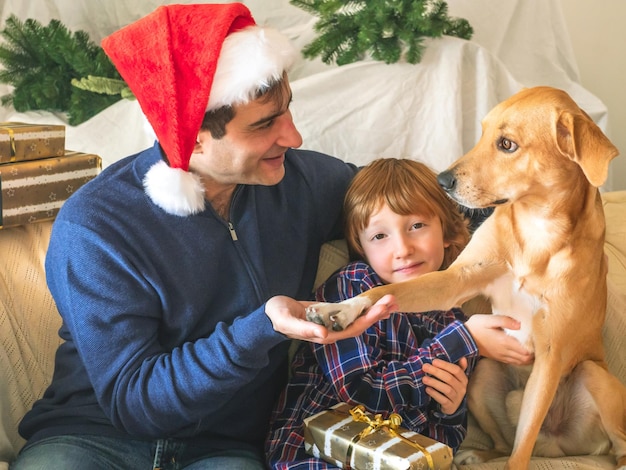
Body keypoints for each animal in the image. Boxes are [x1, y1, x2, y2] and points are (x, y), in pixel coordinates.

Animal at [306, 87, 624, 466]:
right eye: (482, 131)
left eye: (506, 144)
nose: (442, 181)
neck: (537, 230)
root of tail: (554, 446)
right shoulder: (455, 279)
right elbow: (387, 290)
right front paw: (340, 309)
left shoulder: (551, 356)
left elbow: (520, 454)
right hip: (483, 376)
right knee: (504, 444)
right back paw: (477, 455)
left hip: (592, 374)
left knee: (597, 443)